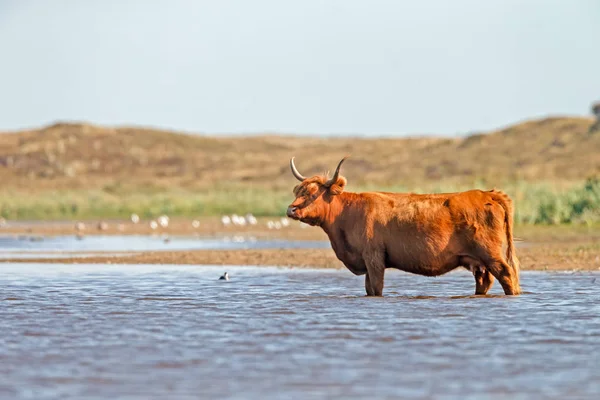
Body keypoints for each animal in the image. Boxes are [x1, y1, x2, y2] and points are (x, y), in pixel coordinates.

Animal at [286, 156, 520, 296]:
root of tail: (486, 193)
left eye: (312, 193)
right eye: (298, 191)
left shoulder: (374, 258)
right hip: (478, 261)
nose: (291, 210)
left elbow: (376, 288)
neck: (347, 215)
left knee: (507, 275)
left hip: (491, 254)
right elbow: (369, 289)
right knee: (485, 281)